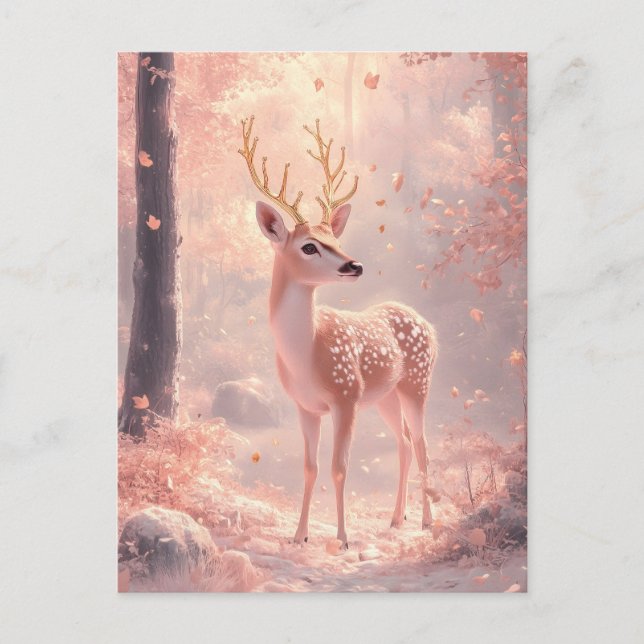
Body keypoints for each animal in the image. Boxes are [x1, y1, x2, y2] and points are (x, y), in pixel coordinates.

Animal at [238, 116, 438, 548]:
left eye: (335, 238)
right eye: (310, 246)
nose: (355, 265)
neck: (306, 355)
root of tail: (427, 323)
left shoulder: (346, 396)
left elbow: (339, 467)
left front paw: (343, 539)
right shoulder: (306, 406)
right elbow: (310, 467)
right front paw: (299, 536)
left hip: (418, 382)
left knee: (422, 443)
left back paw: (427, 522)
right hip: (384, 395)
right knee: (403, 442)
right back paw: (396, 519)